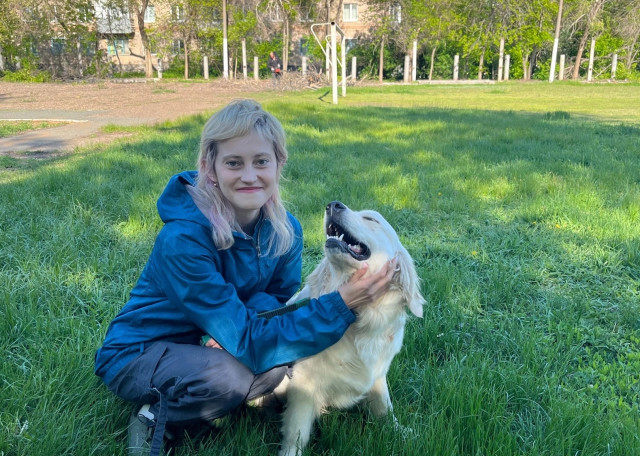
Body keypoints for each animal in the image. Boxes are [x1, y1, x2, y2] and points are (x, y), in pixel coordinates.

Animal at [277, 201, 425, 456]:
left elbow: (385, 408)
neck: (359, 322)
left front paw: (401, 433)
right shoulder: (303, 385)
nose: (332, 204)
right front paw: (290, 453)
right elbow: (297, 432)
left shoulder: (377, 375)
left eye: (371, 219)